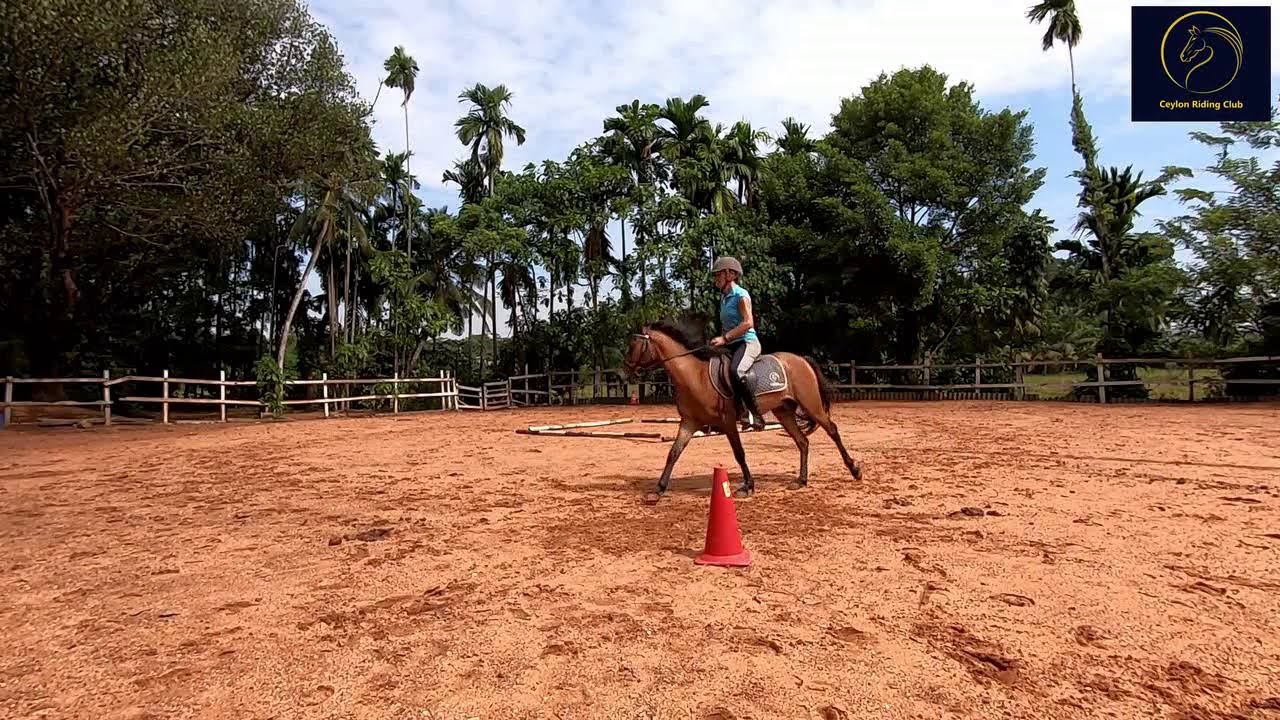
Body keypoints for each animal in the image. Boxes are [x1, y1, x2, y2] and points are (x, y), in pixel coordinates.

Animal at [621, 317, 862, 503]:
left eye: (633, 346)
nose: (623, 374)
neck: (695, 376)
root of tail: (801, 359)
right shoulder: (689, 422)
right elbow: (673, 453)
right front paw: (658, 490)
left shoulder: (728, 422)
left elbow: (739, 453)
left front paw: (748, 486)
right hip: (784, 412)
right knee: (802, 441)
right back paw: (801, 480)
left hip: (812, 405)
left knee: (832, 430)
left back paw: (854, 470)